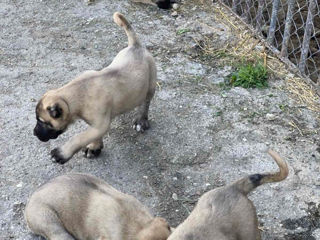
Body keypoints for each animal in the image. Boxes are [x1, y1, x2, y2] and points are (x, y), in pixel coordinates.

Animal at [33, 12, 156, 164]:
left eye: (43, 122)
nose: (34, 133)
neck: (78, 91)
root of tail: (136, 45)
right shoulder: (97, 126)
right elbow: (92, 135)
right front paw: (94, 147)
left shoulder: (100, 124)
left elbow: (79, 138)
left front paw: (61, 153)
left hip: (151, 83)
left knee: (146, 102)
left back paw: (141, 120)